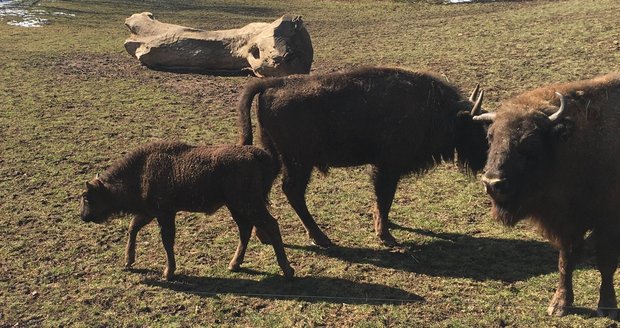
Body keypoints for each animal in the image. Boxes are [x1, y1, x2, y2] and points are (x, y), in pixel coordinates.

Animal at [79, 141, 296, 280]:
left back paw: (287, 270)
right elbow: (133, 227)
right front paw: (128, 261)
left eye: (87, 197)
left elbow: (166, 240)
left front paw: (168, 272)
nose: (83, 216)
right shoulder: (150, 213)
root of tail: (257, 155)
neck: (141, 171)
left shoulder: (165, 214)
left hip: (247, 204)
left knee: (270, 224)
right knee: (245, 229)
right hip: (236, 206)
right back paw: (234, 264)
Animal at [237, 66, 490, 246]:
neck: (437, 110)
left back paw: (264, 235)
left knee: (263, 191)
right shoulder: (387, 167)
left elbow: (382, 200)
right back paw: (321, 238)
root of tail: (272, 84)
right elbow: (384, 198)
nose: (486, 167)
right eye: (480, 132)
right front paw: (386, 236)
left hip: (274, 155)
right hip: (298, 162)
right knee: (292, 191)